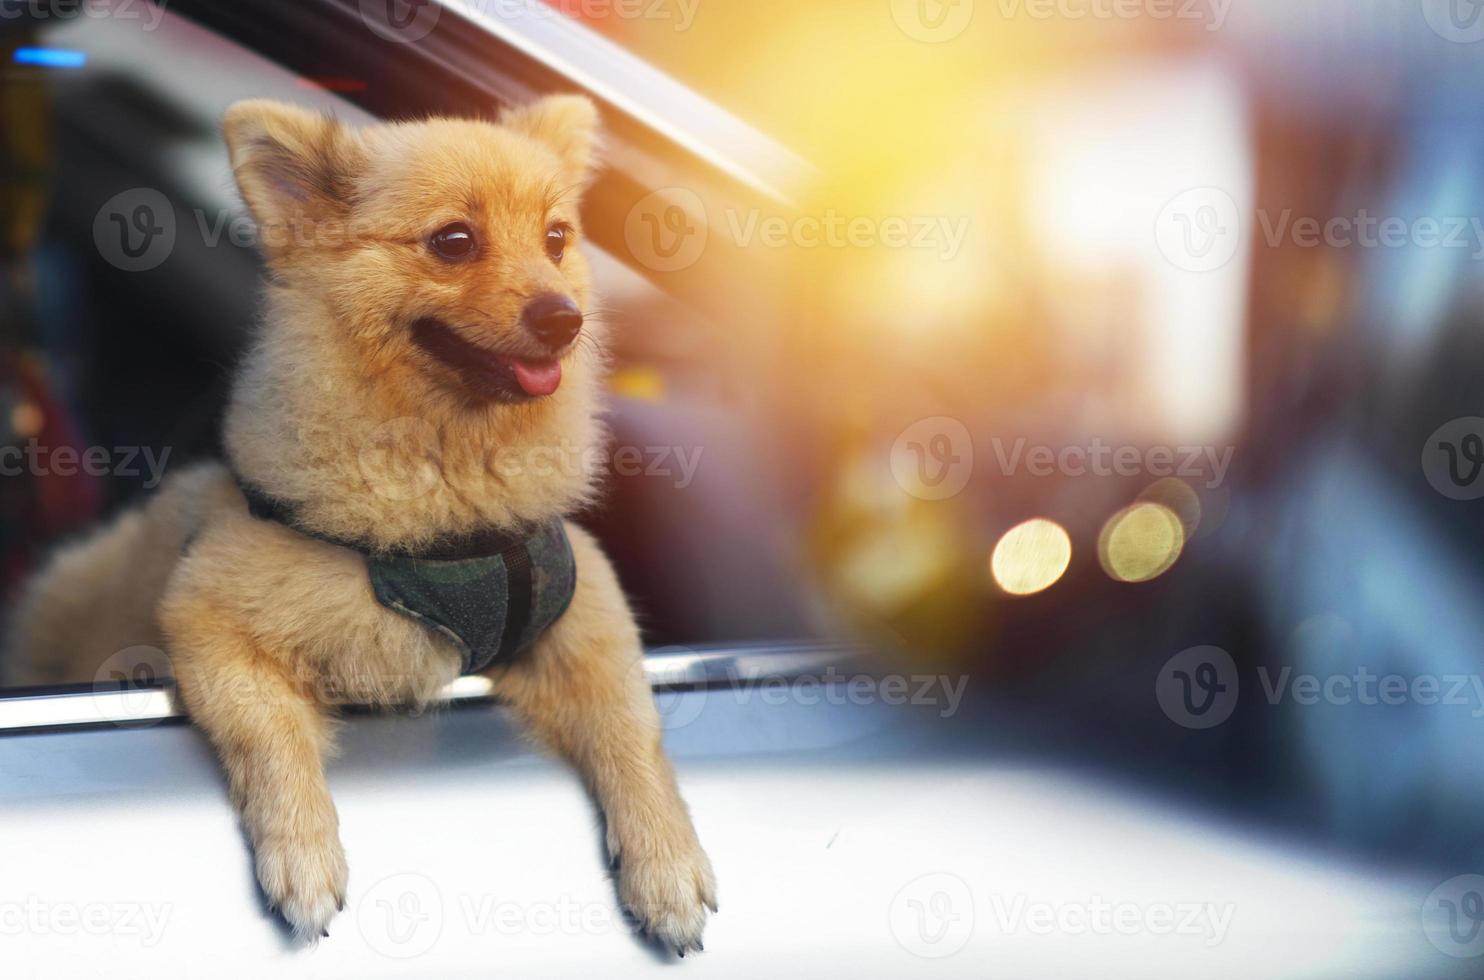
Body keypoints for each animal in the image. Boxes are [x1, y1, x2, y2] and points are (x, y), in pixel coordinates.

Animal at [2, 95, 715, 950]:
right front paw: (304, 855)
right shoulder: (211, 617)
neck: (448, 482)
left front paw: (667, 863)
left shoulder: (586, 612)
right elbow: (270, 736)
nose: (563, 318)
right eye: (453, 242)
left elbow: (632, 728)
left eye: (555, 239)